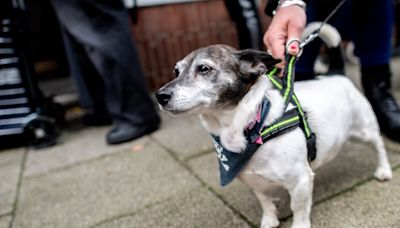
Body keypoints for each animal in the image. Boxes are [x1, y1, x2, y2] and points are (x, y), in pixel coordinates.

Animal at [155, 25, 392, 228]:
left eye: (203, 68)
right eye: (176, 71)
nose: (160, 96)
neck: (250, 128)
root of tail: (336, 74)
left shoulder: (300, 181)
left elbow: (299, 209)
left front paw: (299, 225)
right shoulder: (254, 181)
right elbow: (265, 202)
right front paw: (269, 219)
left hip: (364, 129)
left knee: (379, 145)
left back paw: (384, 170)